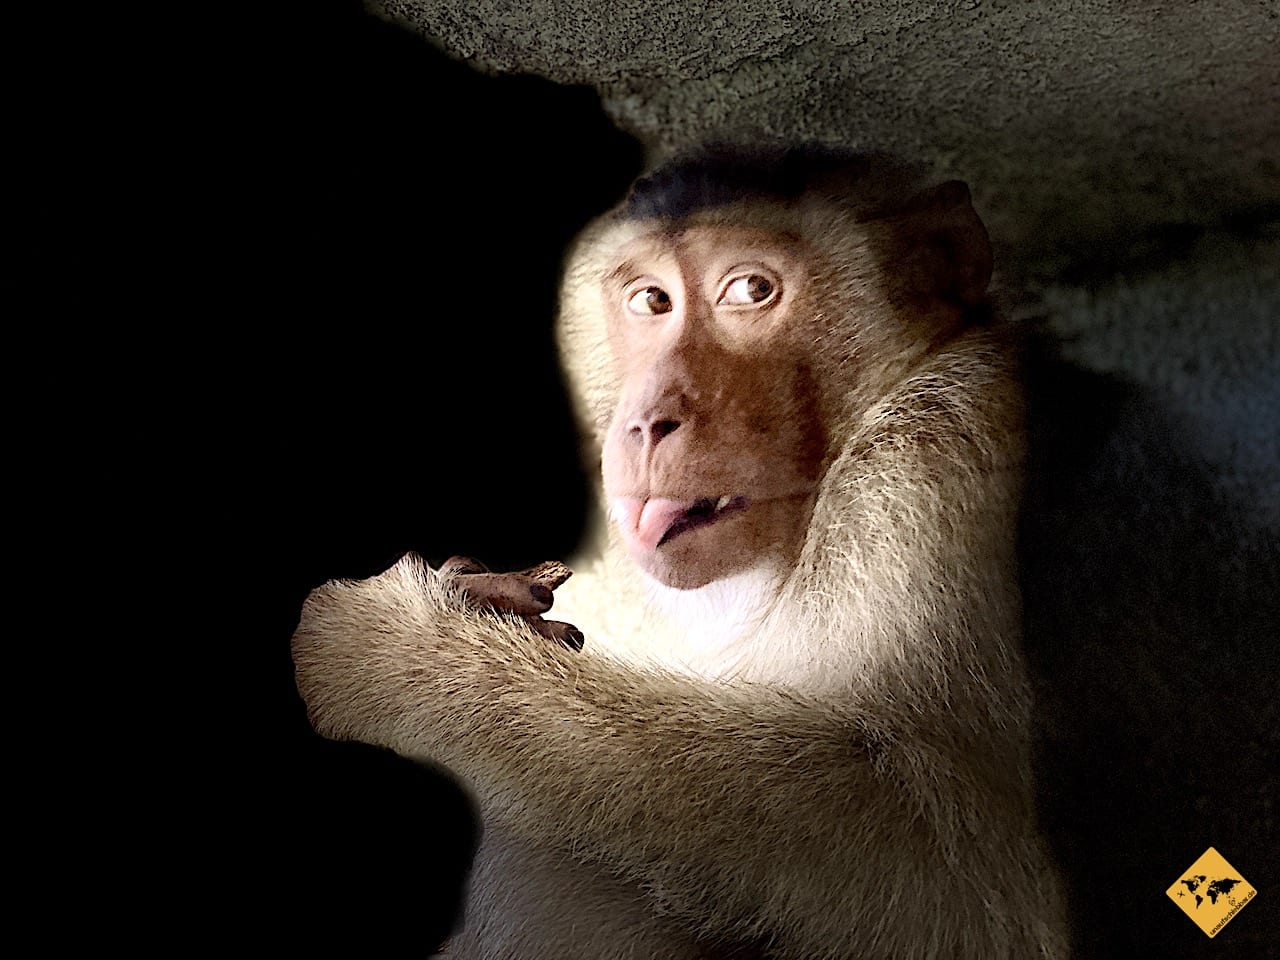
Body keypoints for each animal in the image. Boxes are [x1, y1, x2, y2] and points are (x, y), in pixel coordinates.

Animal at [291, 146, 1069, 959]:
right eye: (650, 300)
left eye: (750, 290)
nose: (648, 422)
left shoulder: (933, 454)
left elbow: (968, 888)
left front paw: (390, 649)